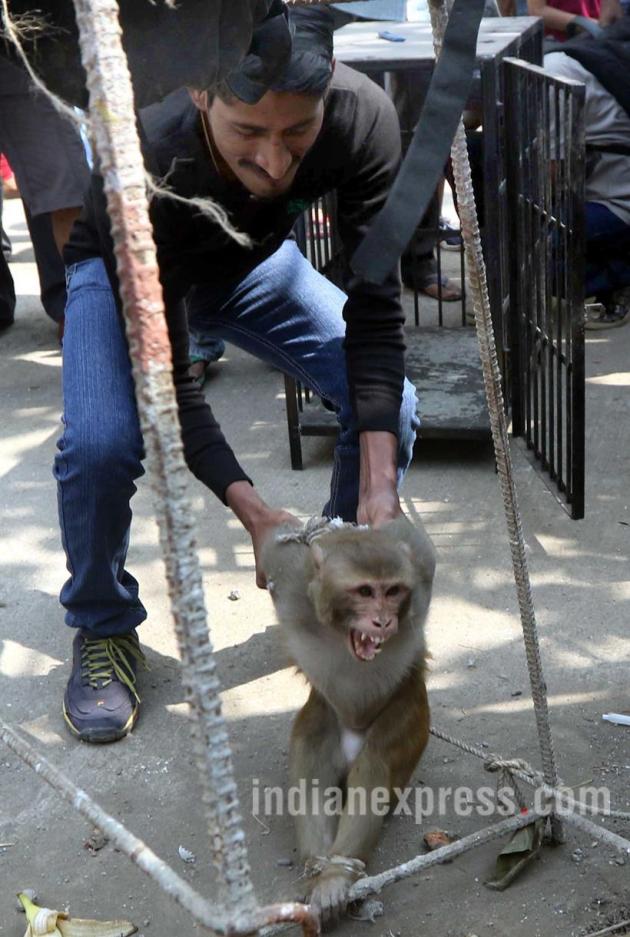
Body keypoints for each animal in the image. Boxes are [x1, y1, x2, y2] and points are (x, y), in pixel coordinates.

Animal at [261, 516, 436, 927]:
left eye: (393, 591)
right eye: (365, 591)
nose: (383, 620)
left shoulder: (421, 569)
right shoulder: (290, 580)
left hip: (409, 716)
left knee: (375, 764)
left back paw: (336, 876)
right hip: (325, 716)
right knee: (312, 750)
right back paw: (320, 870)